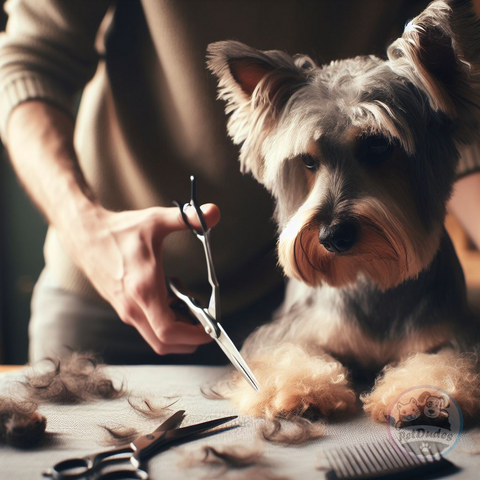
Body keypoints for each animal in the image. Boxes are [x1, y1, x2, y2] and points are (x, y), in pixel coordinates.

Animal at [206, 0, 480, 426]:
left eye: (379, 145)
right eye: (307, 161)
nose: (332, 237)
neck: (370, 277)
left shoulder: (454, 332)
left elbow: (444, 361)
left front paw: (420, 395)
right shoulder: (289, 331)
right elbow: (291, 355)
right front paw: (300, 389)